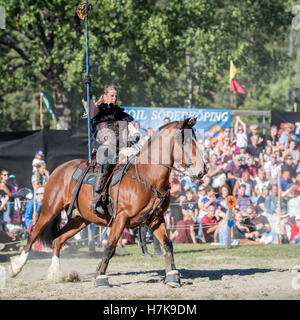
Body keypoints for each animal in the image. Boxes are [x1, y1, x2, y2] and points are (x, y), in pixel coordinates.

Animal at [8, 117, 206, 288]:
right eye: (185, 141)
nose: (202, 170)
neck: (146, 177)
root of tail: (59, 169)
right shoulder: (121, 218)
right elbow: (110, 247)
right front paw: (100, 277)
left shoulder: (155, 219)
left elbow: (167, 244)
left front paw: (172, 276)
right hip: (50, 210)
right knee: (34, 234)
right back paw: (16, 267)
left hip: (80, 220)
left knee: (57, 240)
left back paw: (56, 273)